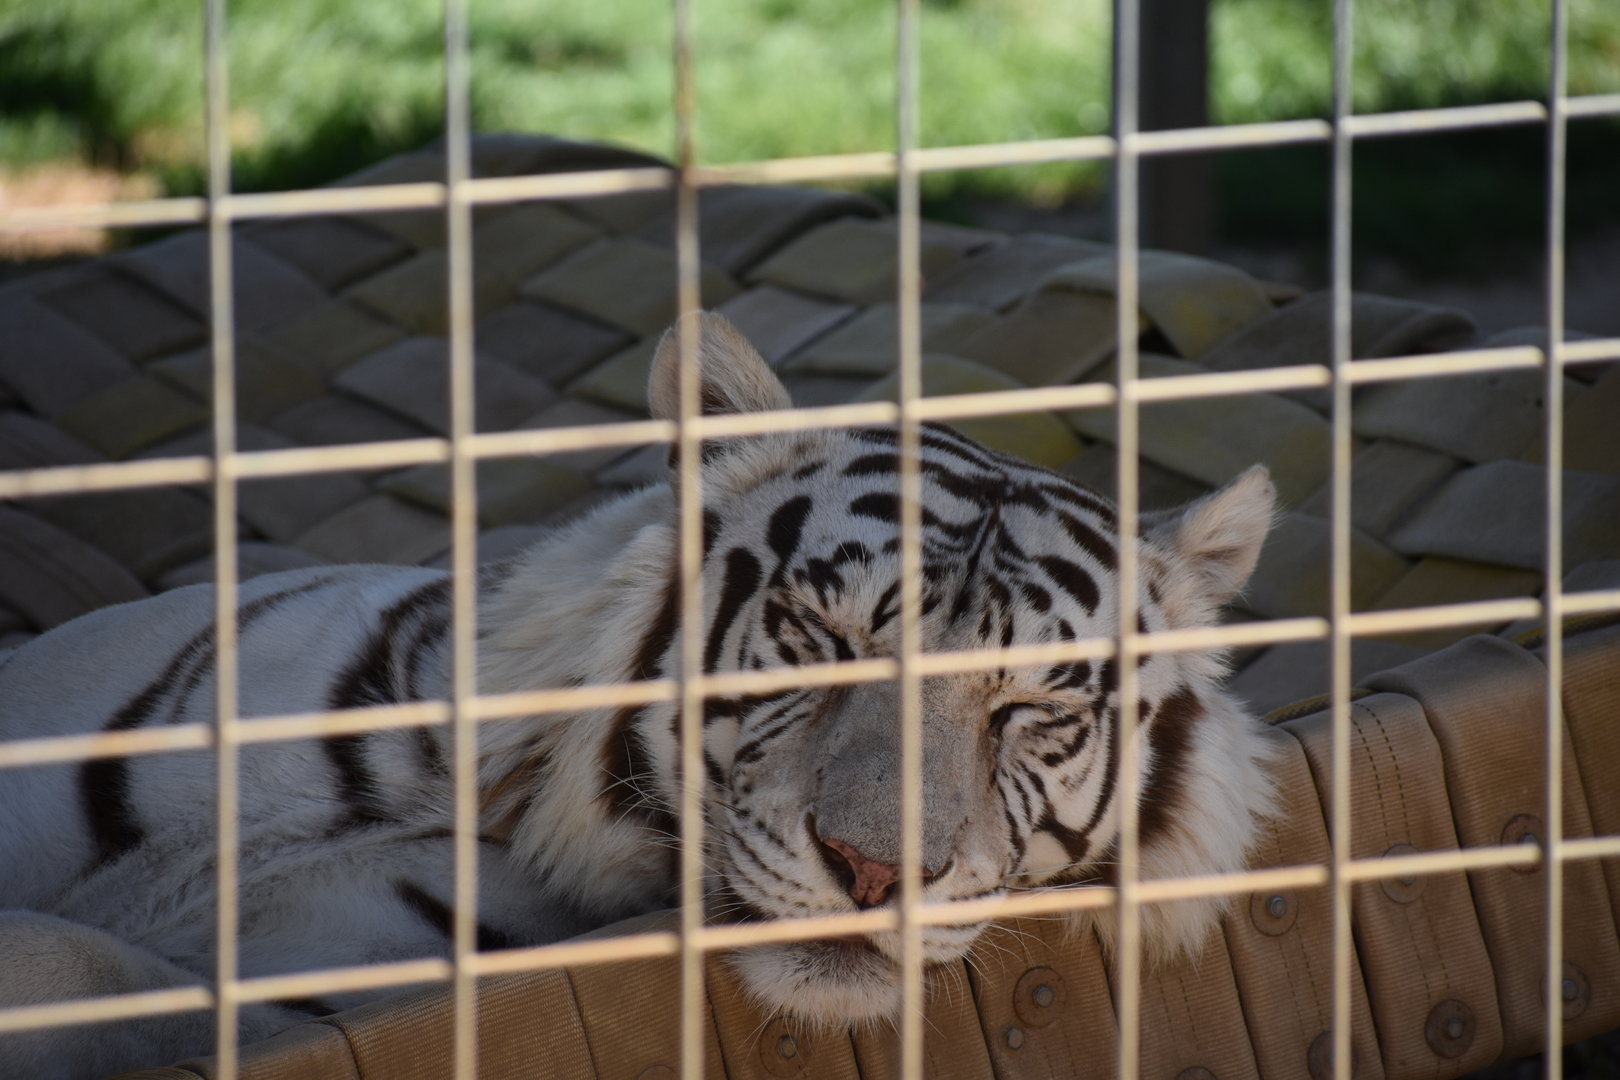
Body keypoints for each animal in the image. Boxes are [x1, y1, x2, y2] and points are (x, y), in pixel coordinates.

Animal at [0, 312, 1277, 1078]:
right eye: (824, 637)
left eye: (1030, 712)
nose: (876, 875)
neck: (489, 792)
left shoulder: (325, 998)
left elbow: (87, 967)